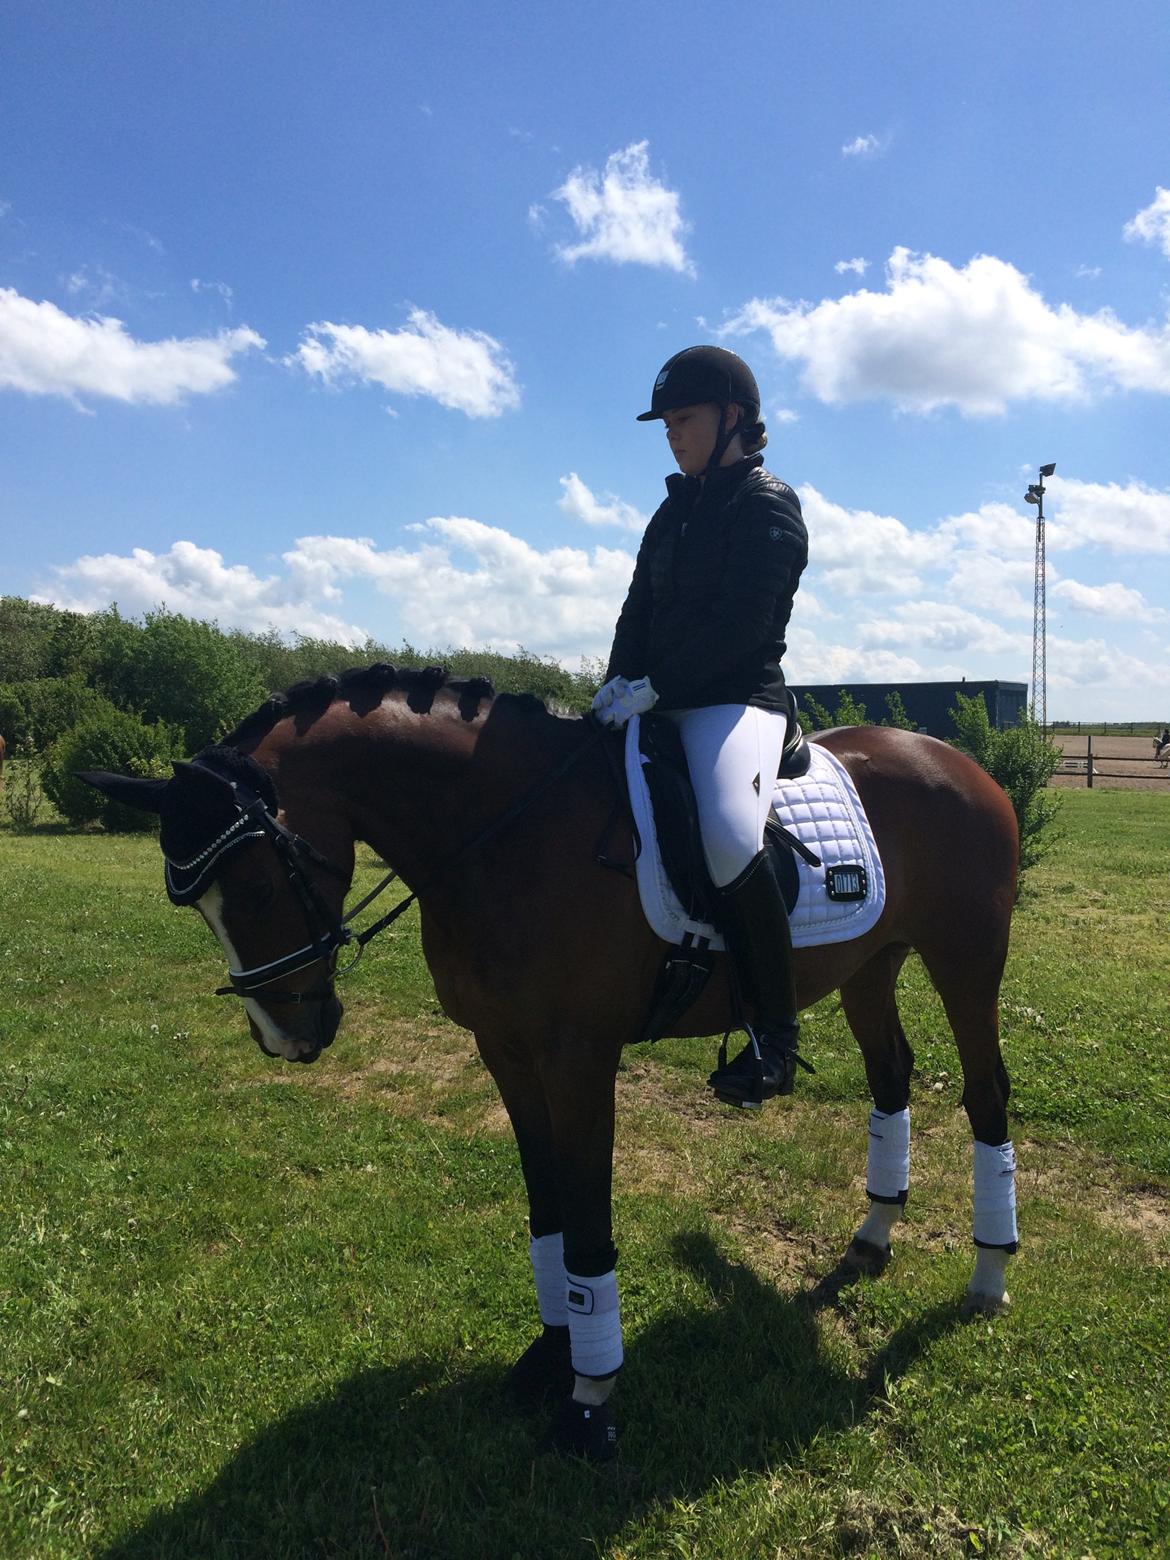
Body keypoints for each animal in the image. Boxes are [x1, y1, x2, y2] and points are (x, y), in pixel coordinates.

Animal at [82, 664, 1021, 1461]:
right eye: (192, 904)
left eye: (257, 888)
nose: (285, 1038)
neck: (506, 834)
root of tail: (958, 761)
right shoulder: (504, 1051)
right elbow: (548, 1212)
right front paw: (549, 1353)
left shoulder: (578, 1061)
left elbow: (590, 1222)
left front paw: (591, 1402)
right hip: (871, 964)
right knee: (892, 1077)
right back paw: (870, 1241)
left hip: (966, 964)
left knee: (986, 1096)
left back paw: (987, 1275)